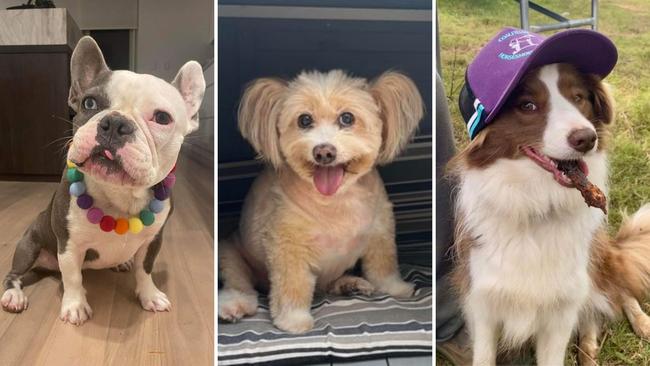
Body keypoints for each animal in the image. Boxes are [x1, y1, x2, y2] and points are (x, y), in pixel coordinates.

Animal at [0, 35, 205, 324]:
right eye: (89, 103)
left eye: (162, 118)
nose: (116, 123)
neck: (119, 194)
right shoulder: (69, 245)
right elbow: (73, 277)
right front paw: (75, 305)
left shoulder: (153, 240)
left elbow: (145, 269)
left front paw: (149, 295)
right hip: (29, 244)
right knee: (14, 274)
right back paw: (14, 295)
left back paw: (122, 262)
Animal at [215, 69, 422, 334]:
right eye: (304, 120)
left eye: (347, 118)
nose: (324, 152)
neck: (336, 200)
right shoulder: (287, 245)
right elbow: (292, 285)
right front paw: (293, 320)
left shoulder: (380, 230)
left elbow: (383, 266)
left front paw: (396, 288)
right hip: (230, 255)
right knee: (240, 284)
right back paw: (234, 305)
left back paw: (349, 284)